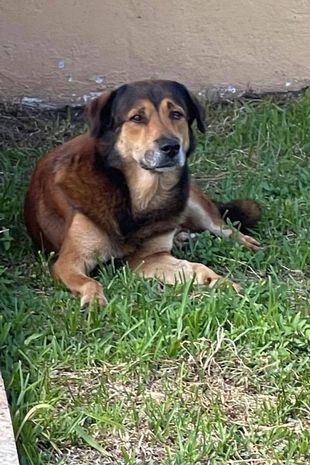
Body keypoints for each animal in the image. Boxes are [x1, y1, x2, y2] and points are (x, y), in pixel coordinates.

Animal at [24, 79, 262, 304]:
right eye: (137, 118)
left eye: (176, 114)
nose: (170, 147)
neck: (138, 197)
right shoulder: (69, 261)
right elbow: (90, 282)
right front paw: (94, 301)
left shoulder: (150, 258)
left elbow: (198, 268)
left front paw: (223, 283)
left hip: (190, 200)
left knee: (223, 227)